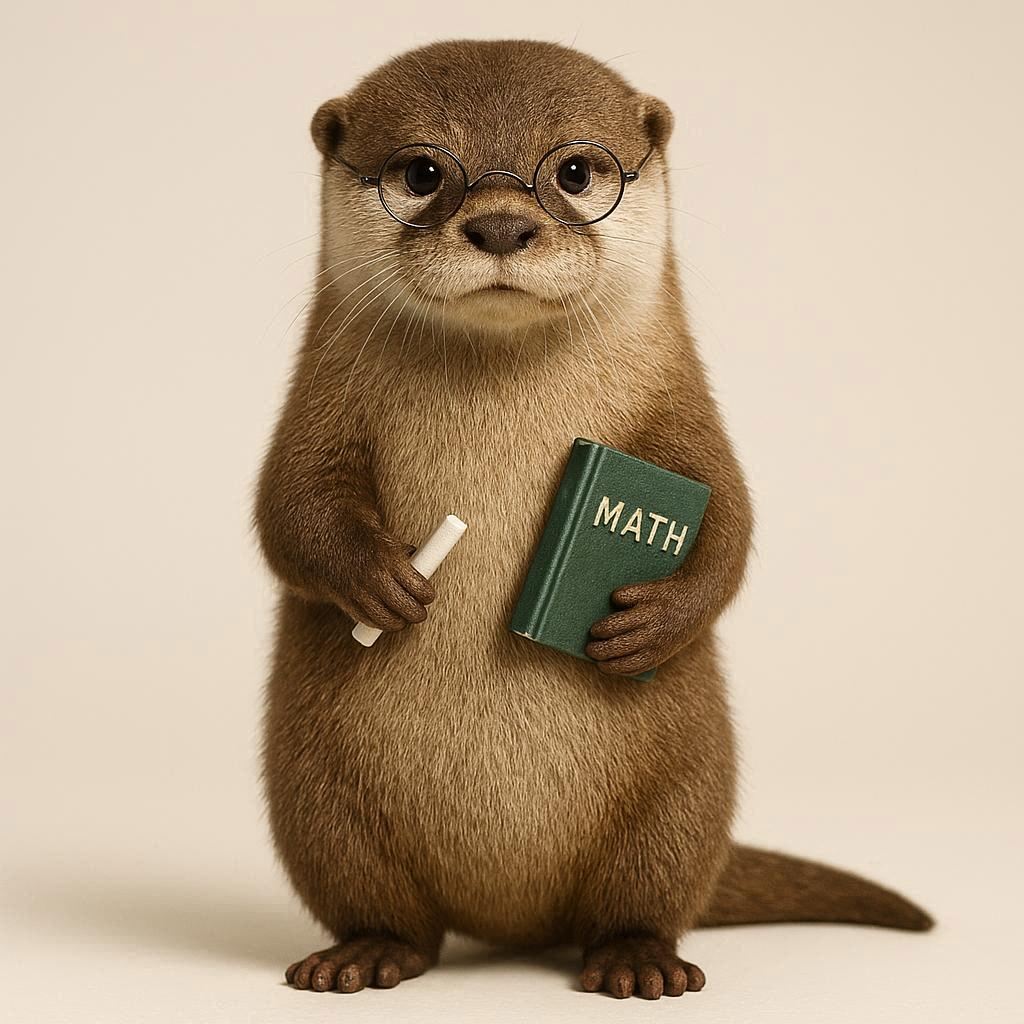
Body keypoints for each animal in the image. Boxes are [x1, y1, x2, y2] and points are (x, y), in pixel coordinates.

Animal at [255, 39, 931, 1000]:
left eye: (575, 171)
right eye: (422, 172)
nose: (503, 227)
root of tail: (505, 919)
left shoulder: (688, 409)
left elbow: (736, 517)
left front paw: (656, 619)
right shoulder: (314, 410)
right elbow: (289, 508)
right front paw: (379, 580)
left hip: (683, 799)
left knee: (641, 896)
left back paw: (640, 962)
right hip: (317, 801)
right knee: (385, 906)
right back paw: (363, 953)